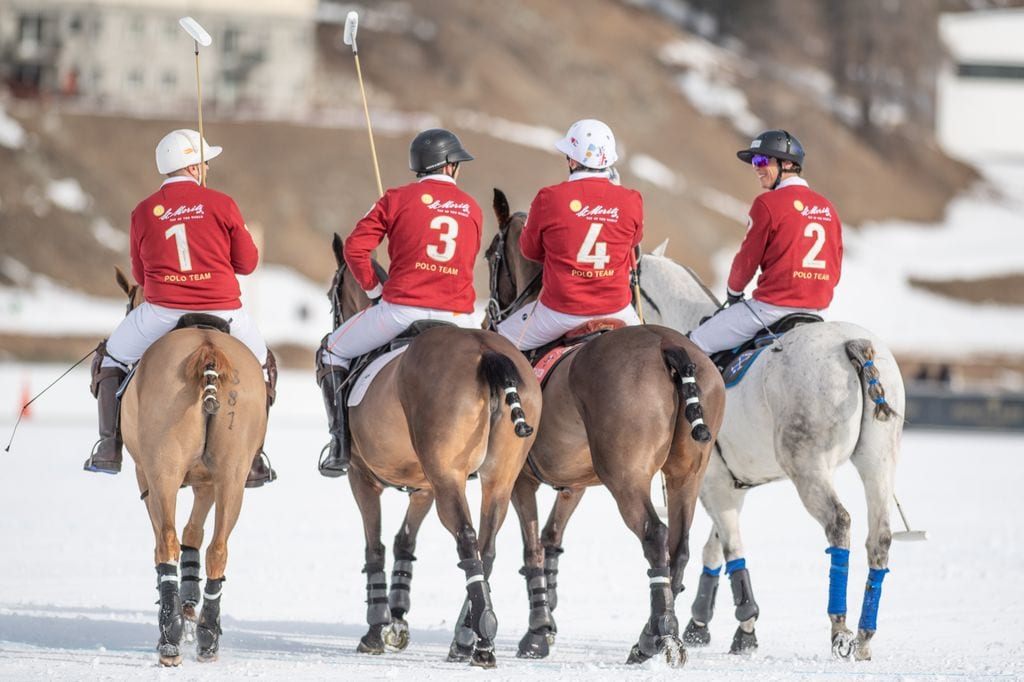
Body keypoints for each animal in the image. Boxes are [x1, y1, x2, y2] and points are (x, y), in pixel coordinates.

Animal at [113, 266, 266, 663]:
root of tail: (207, 349)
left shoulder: (146, 476)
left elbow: (169, 534)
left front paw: (182, 610)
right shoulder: (208, 480)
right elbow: (194, 533)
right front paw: (191, 606)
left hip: (163, 468)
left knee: (165, 541)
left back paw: (169, 638)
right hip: (232, 473)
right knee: (218, 548)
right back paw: (208, 637)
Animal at [325, 232, 544, 663]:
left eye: (330, 294)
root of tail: (488, 352)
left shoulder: (362, 477)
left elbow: (374, 547)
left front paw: (375, 631)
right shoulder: (422, 485)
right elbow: (404, 542)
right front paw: (396, 620)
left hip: (448, 477)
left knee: (466, 536)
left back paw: (482, 636)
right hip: (499, 476)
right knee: (486, 547)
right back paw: (474, 637)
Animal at [483, 187, 724, 663]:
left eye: (488, 255)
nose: (487, 319)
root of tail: (669, 347)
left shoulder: (519, 478)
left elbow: (532, 546)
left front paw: (536, 633)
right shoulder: (573, 482)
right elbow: (551, 539)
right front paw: (547, 623)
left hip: (625, 475)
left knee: (654, 533)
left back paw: (659, 637)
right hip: (687, 473)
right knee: (678, 545)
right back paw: (651, 634)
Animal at [638, 245, 905, 659]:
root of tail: (854, 346)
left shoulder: (712, 483)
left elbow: (731, 549)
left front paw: (743, 628)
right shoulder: (729, 485)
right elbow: (715, 548)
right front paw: (701, 624)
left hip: (808, 466)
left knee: (839, 523)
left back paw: (839, 628)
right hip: (878, 460)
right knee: (880, 537)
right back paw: (863, 636)